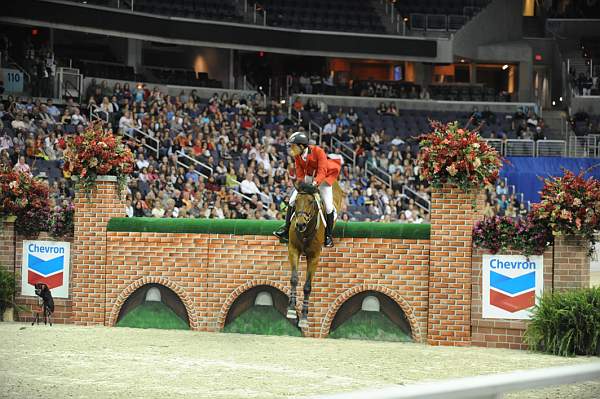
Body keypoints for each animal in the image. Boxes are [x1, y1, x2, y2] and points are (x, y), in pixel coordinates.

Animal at [286, 183, 342, 330]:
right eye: (296, 202)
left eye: (311, 202)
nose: (300, 224)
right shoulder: (293, 250)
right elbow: (294, 279)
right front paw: (292, 309)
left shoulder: (314, 257)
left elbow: (307, 287)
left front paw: (304, 317)